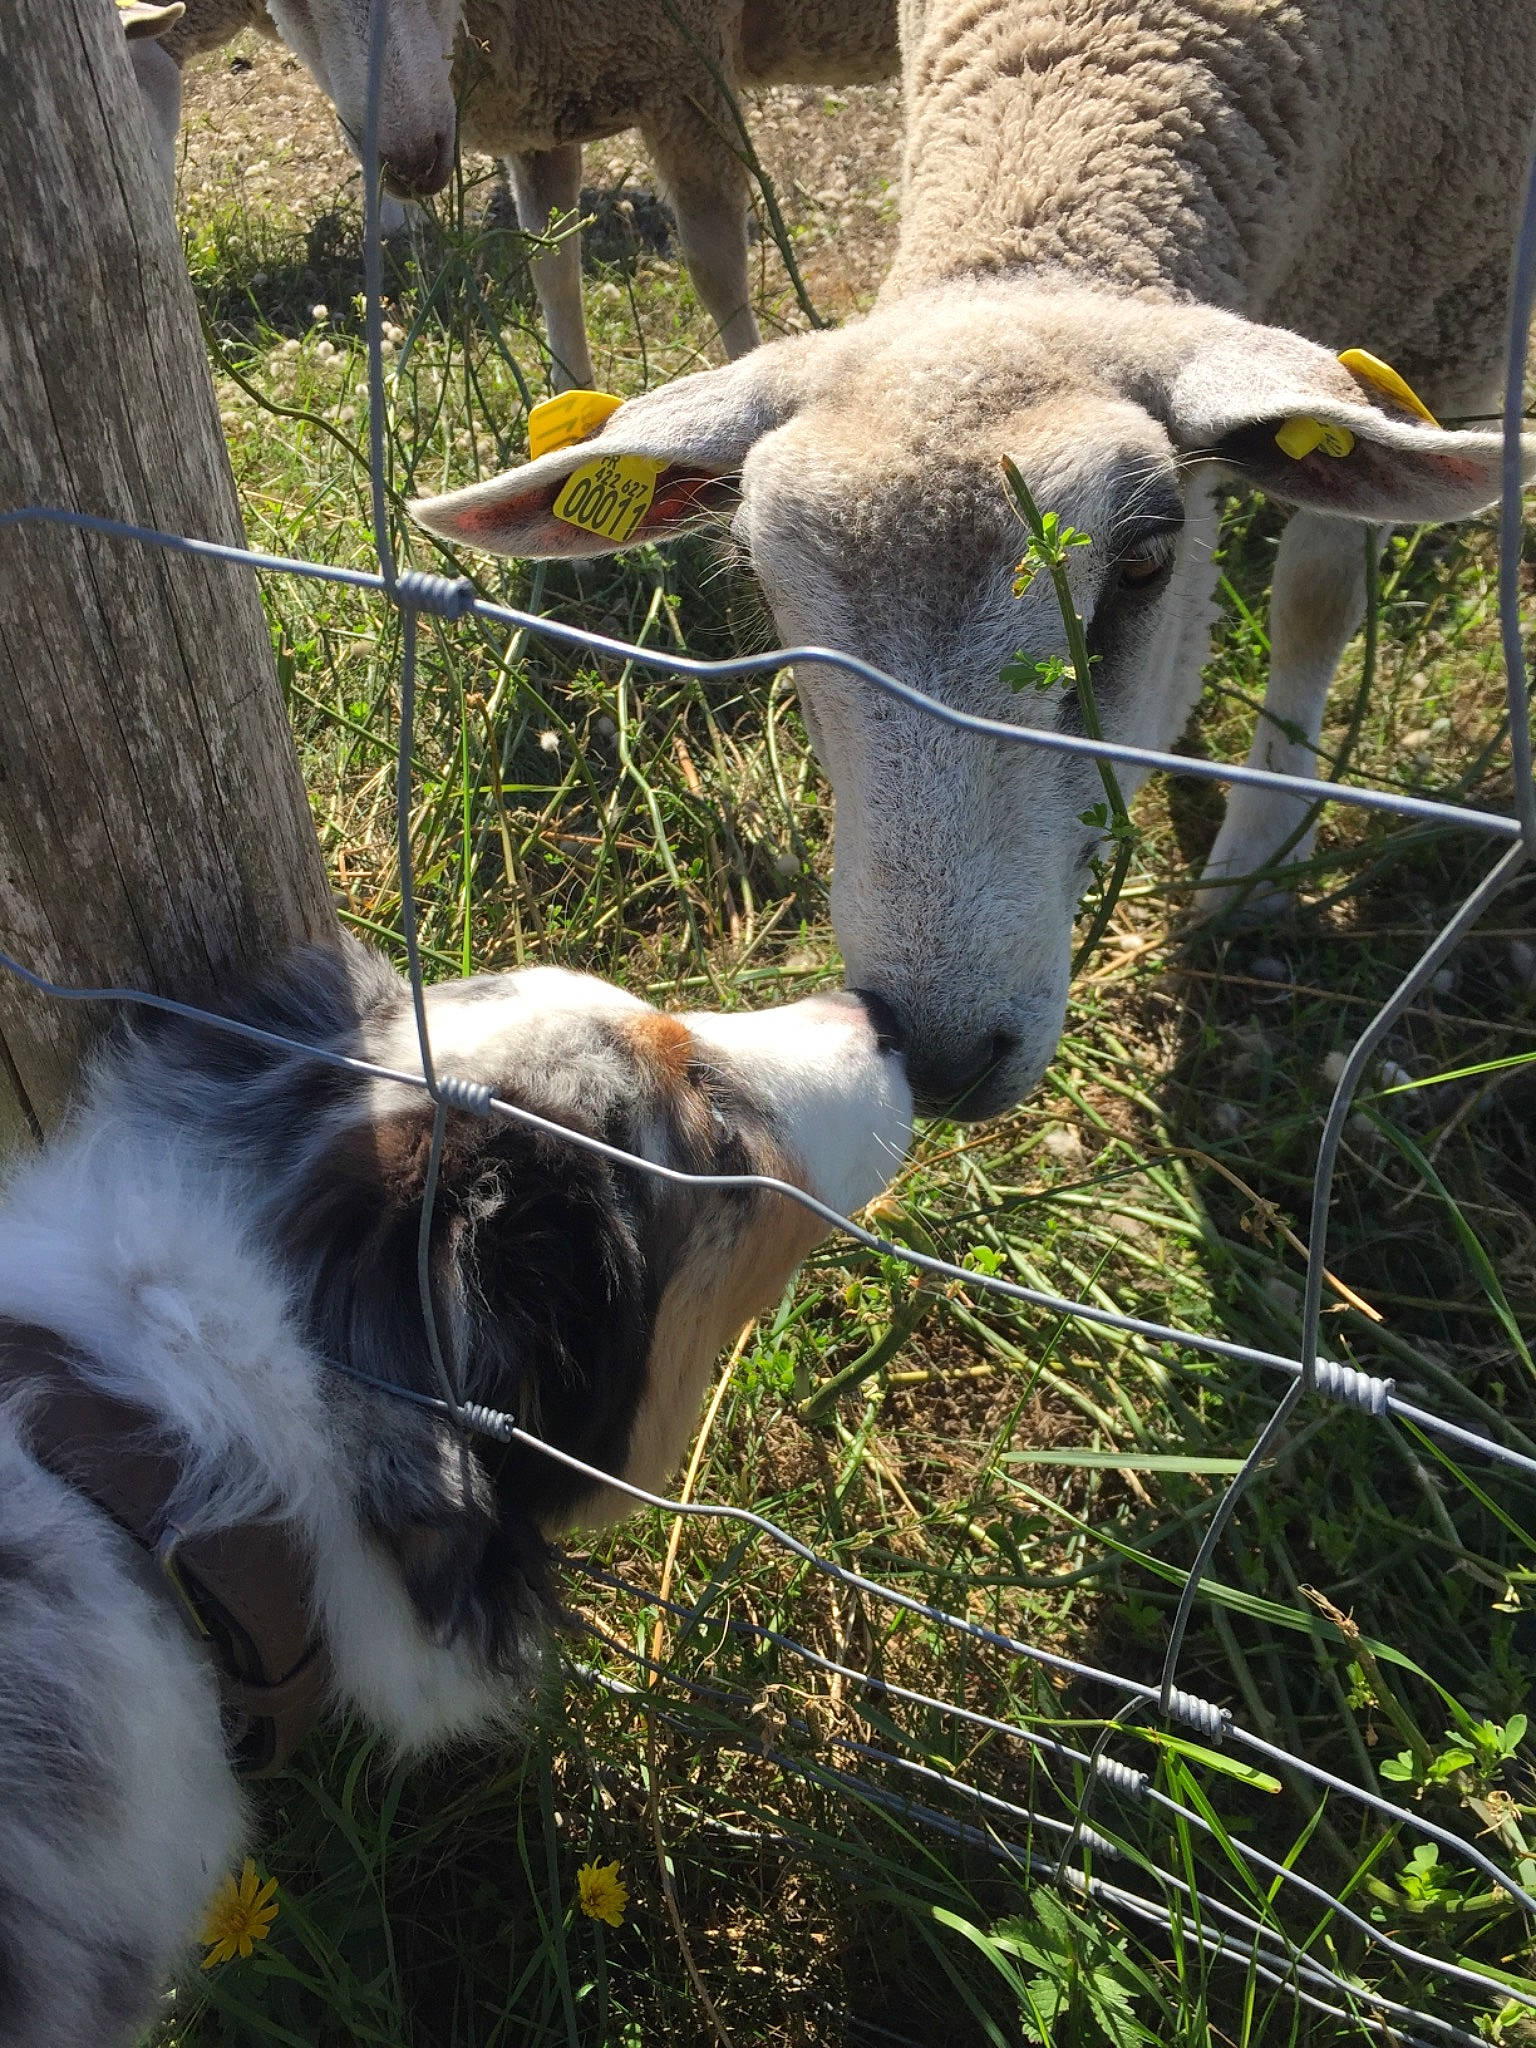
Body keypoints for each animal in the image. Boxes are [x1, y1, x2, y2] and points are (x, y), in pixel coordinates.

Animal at [415, 0, 1536, 1119]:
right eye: (761, 586)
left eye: (1144, 562)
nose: (941, 1057)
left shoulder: (1448, 310)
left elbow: (1315, 599)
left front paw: (1258, 857)